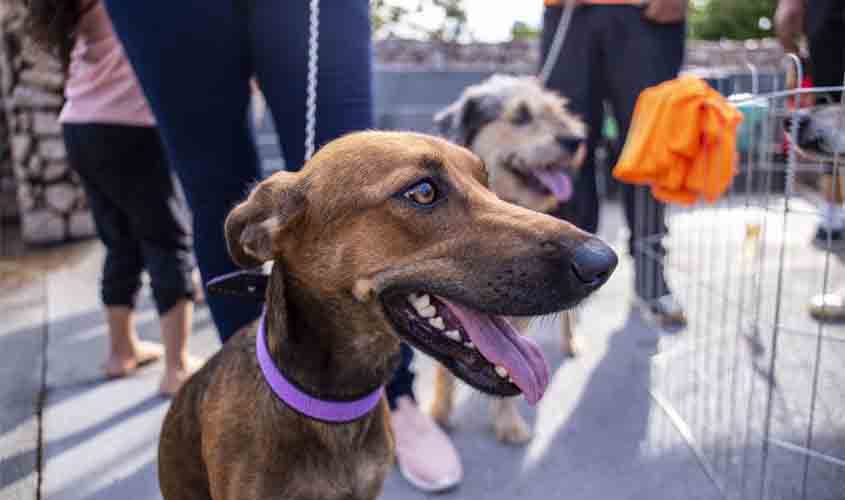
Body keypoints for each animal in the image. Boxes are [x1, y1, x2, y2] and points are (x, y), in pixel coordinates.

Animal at [428, 75, 588, 446]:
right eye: (520, 116)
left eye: (557, 109)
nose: (576, 140)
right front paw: (440, 412)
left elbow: (512, 363)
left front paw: (508, 424)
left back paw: (571, 342)